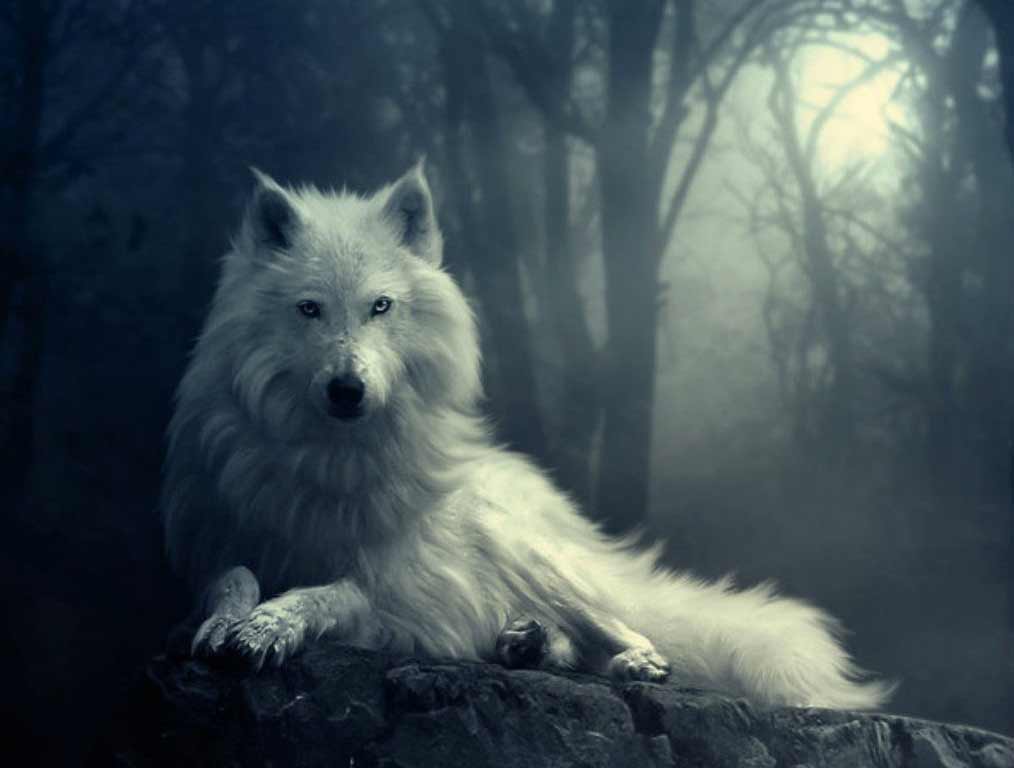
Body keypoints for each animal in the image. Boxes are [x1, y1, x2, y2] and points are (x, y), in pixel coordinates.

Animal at [161, 163, 893, 709]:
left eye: (380, 307)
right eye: (309, 309)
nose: (348, 389)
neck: (331, 460)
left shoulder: (401, 592)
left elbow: (330, 593)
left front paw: (270, 625)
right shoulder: (215, 541)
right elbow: (231, 578)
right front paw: (228, 621)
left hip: (528, 554)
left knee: (626, 628)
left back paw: (629, 661)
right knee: (559, 637)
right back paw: (526, 643)